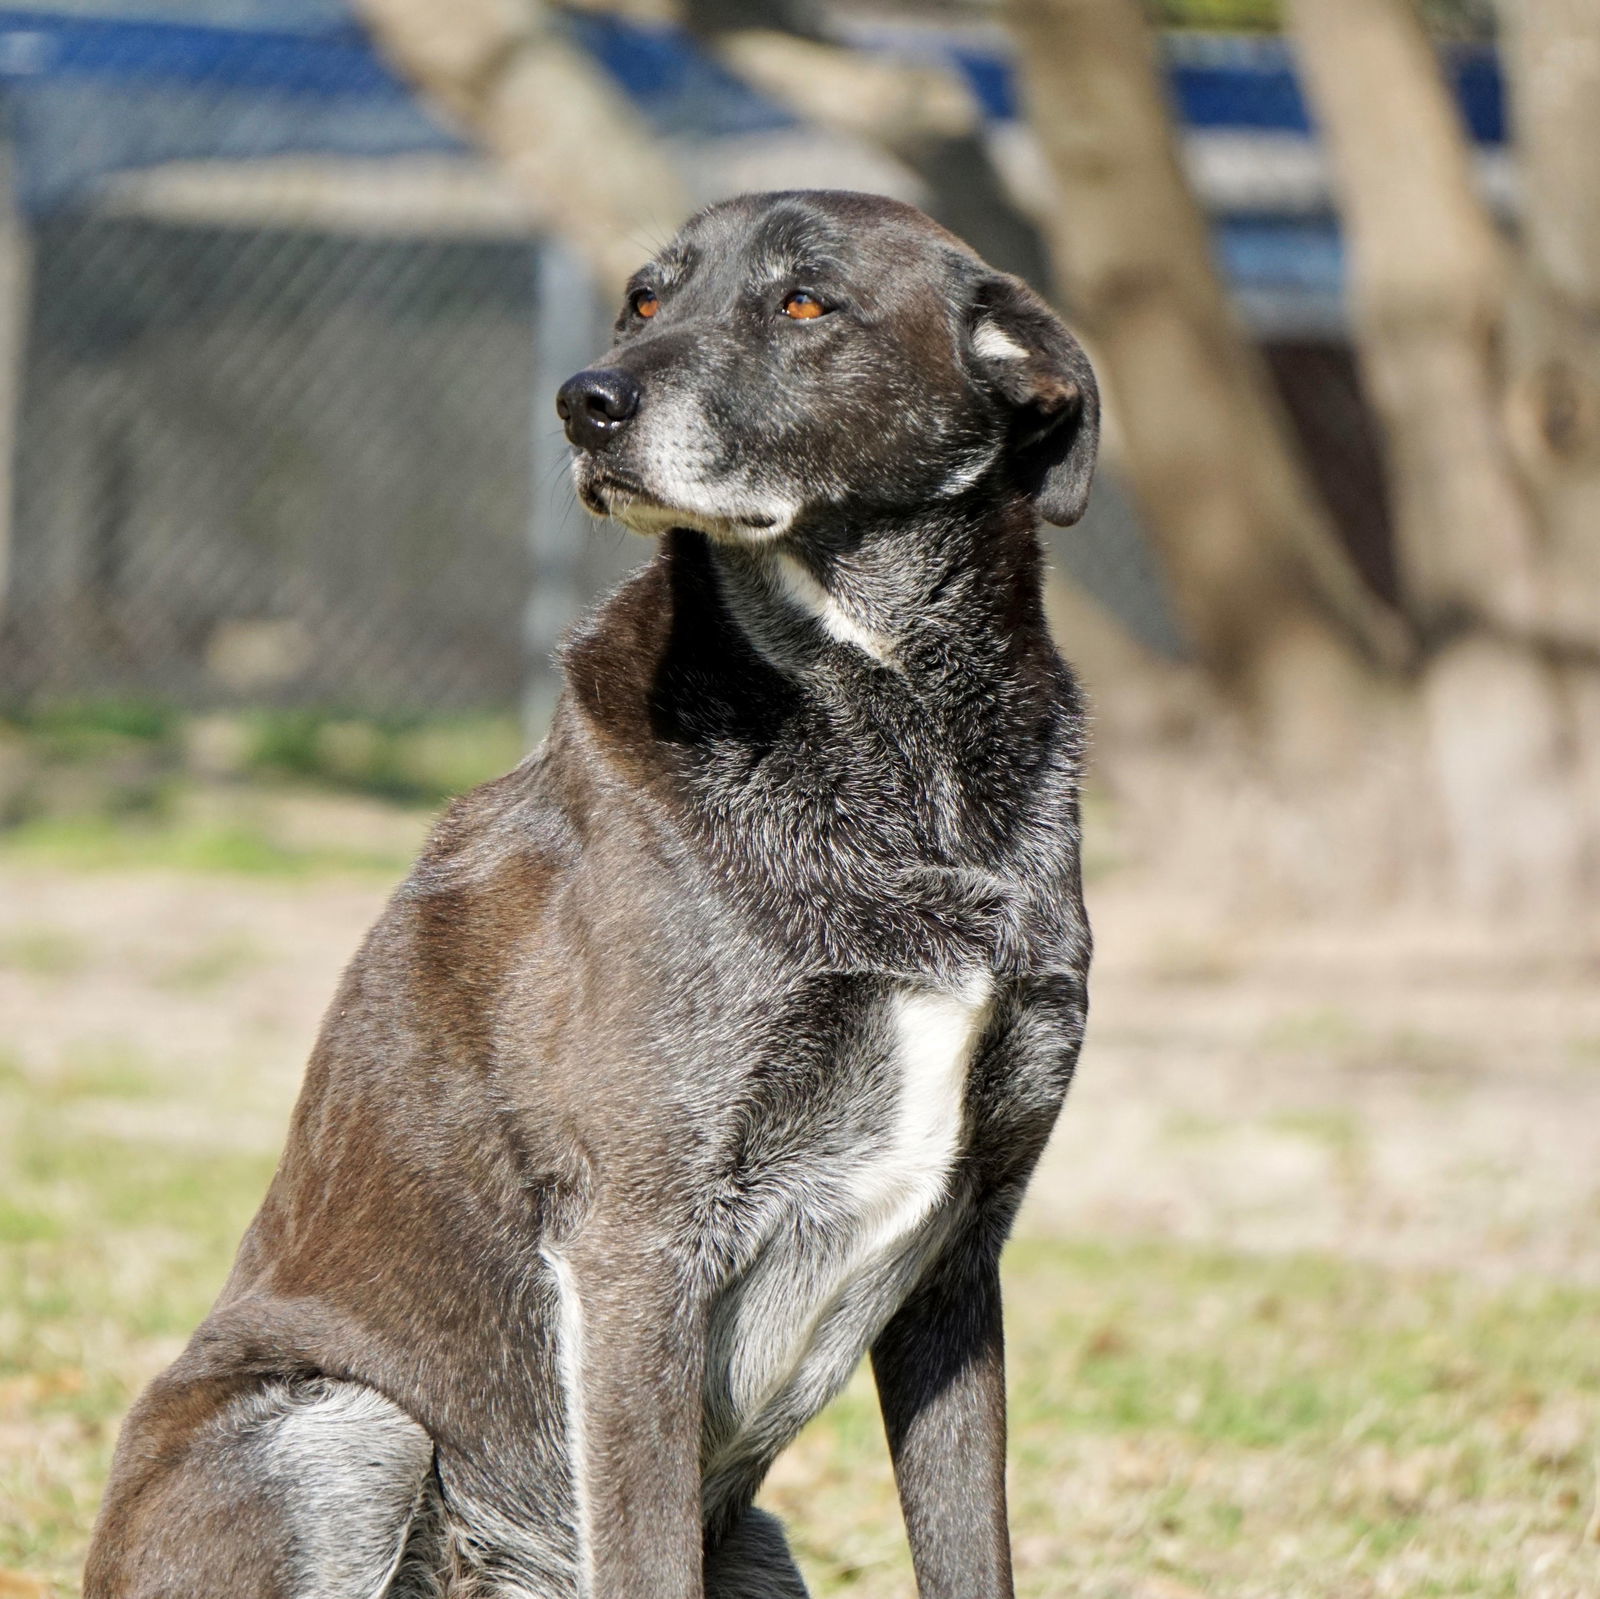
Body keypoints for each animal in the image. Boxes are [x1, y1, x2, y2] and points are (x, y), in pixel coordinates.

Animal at [87, 190, 1100, 1599]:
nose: (586, 402)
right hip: (343, 1426)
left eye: (804, 302)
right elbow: (643, 1546)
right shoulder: (639, 1239)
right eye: (642, 299)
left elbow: (968, 1555)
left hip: (753, 1542)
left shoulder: (961, 1262)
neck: (900, 759)